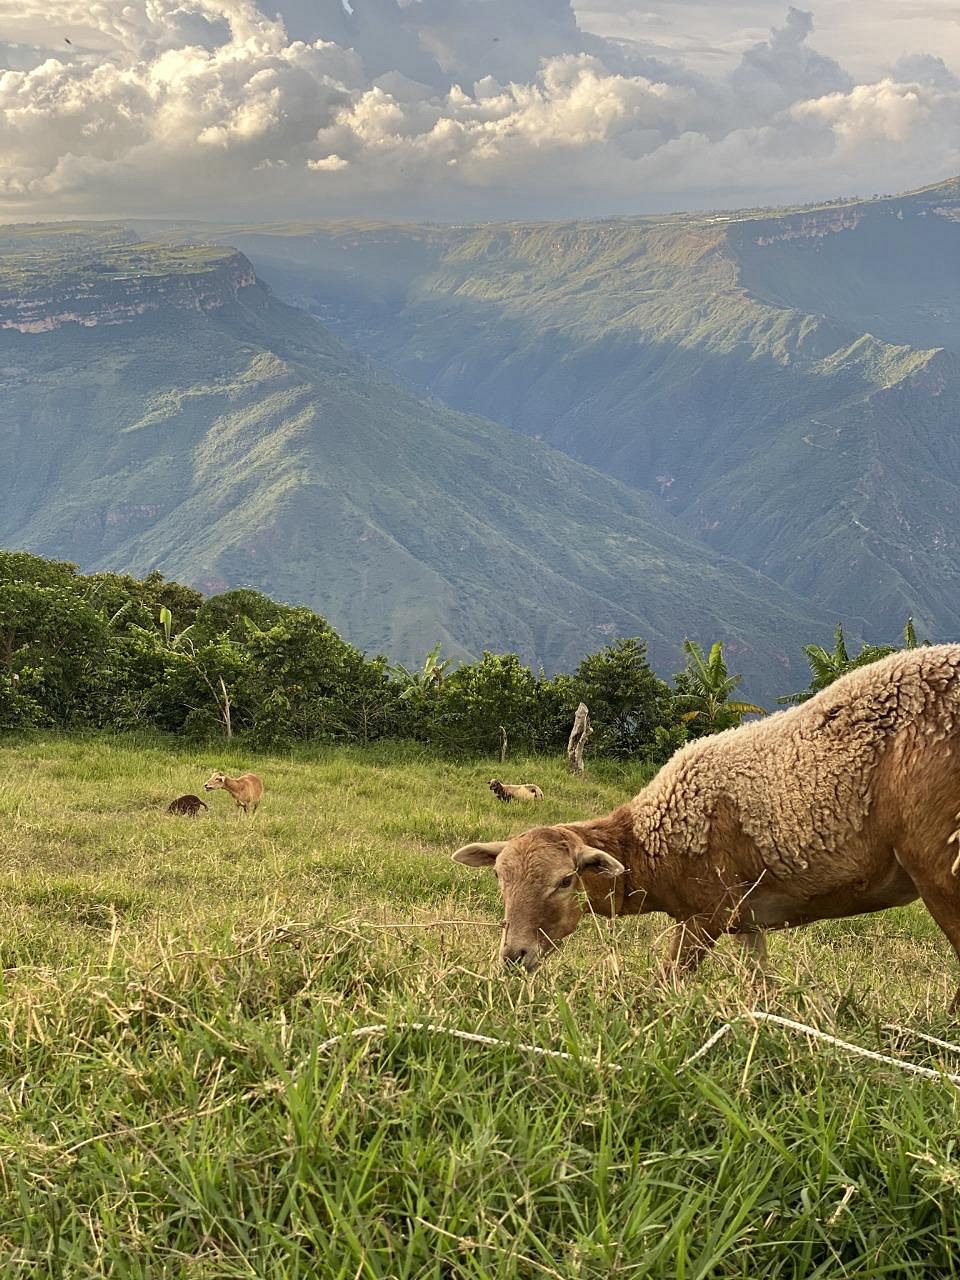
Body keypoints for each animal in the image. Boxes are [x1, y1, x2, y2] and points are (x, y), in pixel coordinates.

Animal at [455, 645, 960, 1007]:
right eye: (500, 879)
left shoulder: (706, 913)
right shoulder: (747, 916)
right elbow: (760, 984)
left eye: (565, 881)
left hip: (941, 859)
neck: (649, 845)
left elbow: (667, 982)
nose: (514, 956)